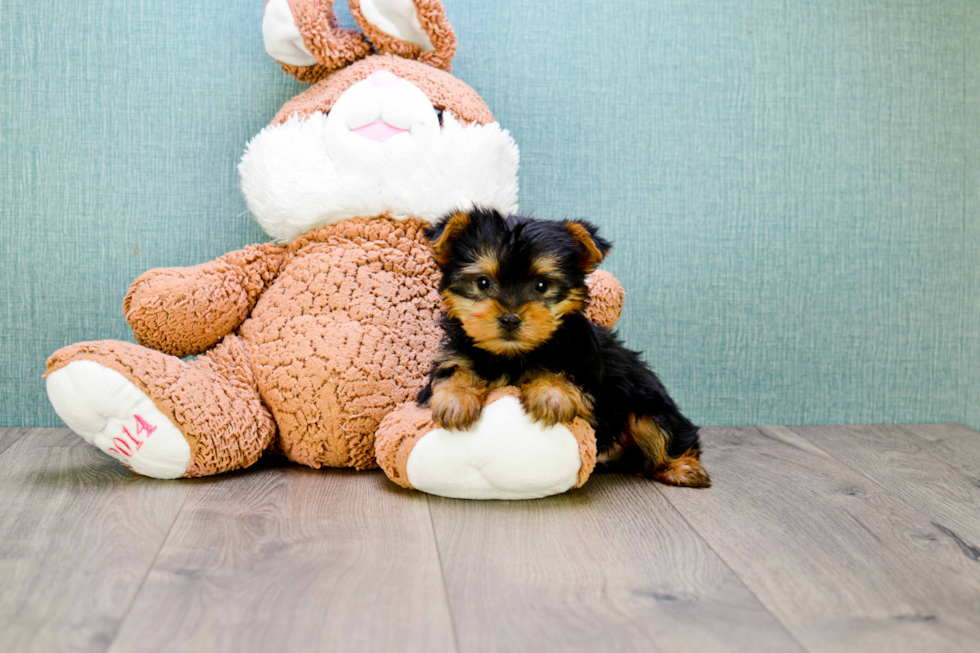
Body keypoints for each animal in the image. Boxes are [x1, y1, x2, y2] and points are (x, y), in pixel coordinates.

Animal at [416, 206, 712, 486]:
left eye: (541, 285)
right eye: (483, 282)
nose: (510, 318)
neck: (511, 355)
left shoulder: (588, 376)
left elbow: (567, 376)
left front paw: (551, 394)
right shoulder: (455, 354)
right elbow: (453, 371)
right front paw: (456, 399)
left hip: (648, 407)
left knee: (663, 430)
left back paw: (683, 468)